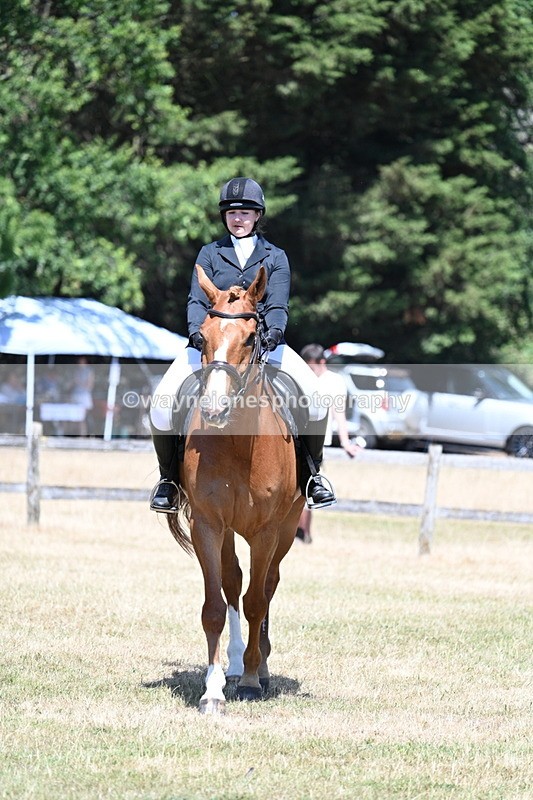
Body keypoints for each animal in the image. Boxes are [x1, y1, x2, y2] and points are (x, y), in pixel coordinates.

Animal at [167, 264, 305, 714]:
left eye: (250, 338)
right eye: (202, 337)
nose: (214, 409)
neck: (238, 444)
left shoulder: (266, 531)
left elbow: (257, 600)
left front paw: (249, 681)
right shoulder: (208, 525)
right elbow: (215, 603)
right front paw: (213, 691)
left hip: (287, 527)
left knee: (267, 585)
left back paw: (259, 668)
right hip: (228, 531)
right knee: (232, 583)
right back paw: (232, 665)